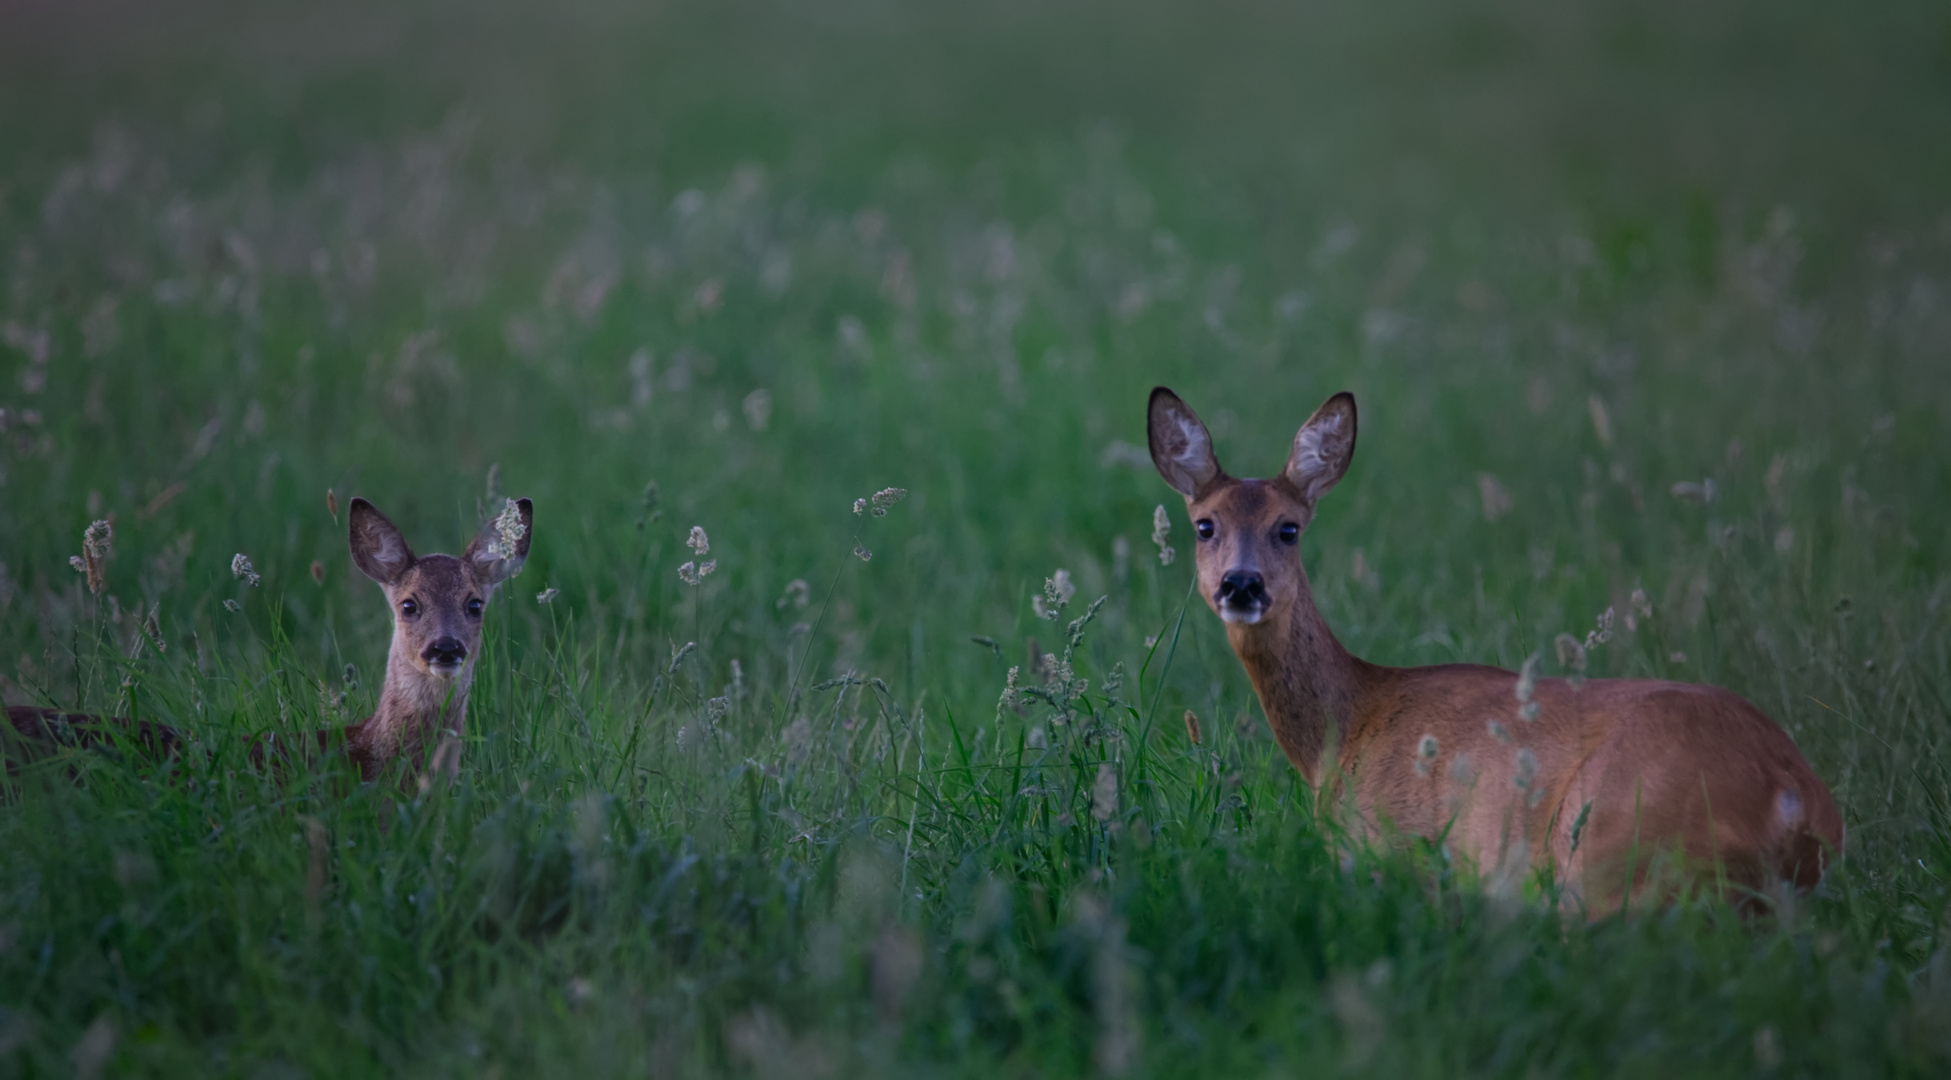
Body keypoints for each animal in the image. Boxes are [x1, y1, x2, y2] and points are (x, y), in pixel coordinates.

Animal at [1147, 384, 1833, 908]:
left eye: (1288, 528)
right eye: (1204, 525)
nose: (1241, 583)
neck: (1344, 730)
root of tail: (1793, 799)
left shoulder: (1383, 845)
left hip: (1610, 849)